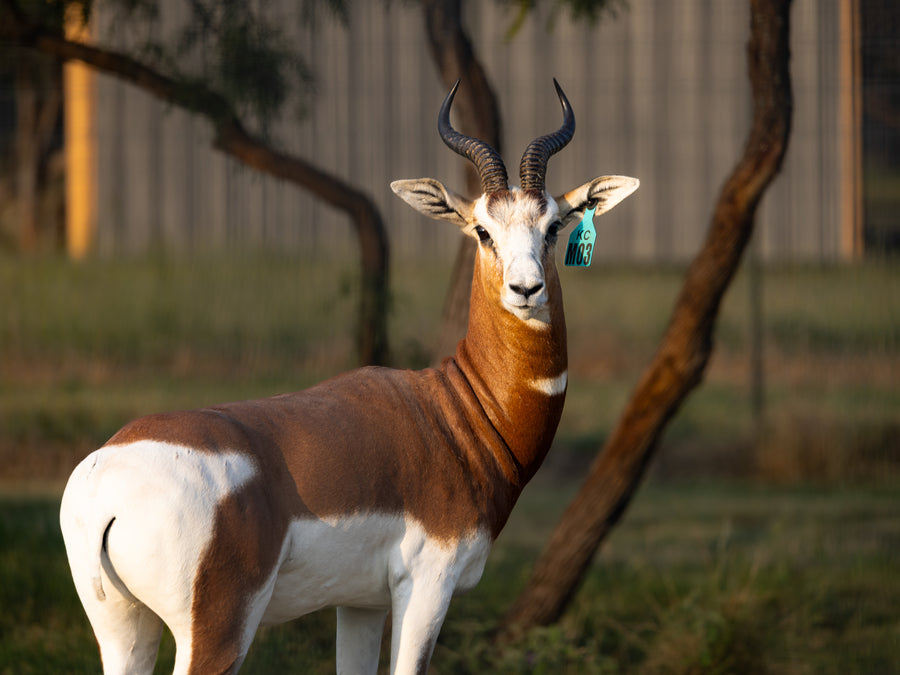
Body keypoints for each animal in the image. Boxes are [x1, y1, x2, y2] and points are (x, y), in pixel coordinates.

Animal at [60, 80, 638, 675]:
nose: (526, 290)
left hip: (123, 629)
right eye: (483, 230)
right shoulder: (427, 588)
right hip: (216, 632)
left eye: (553, 227)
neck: (457, 414)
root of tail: (107, 483)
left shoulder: (360, 603)